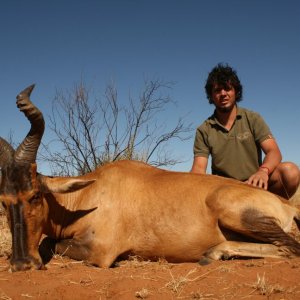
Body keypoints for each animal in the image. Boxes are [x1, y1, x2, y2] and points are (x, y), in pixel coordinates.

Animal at [0, 85, 300, 272]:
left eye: (35, 195)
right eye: (4, 200)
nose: (21, 264)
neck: (90, 192)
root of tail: (285, 204)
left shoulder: (101, 251)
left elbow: (53, 244)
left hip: (234, 213)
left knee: (291, 247)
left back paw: (213, 253)